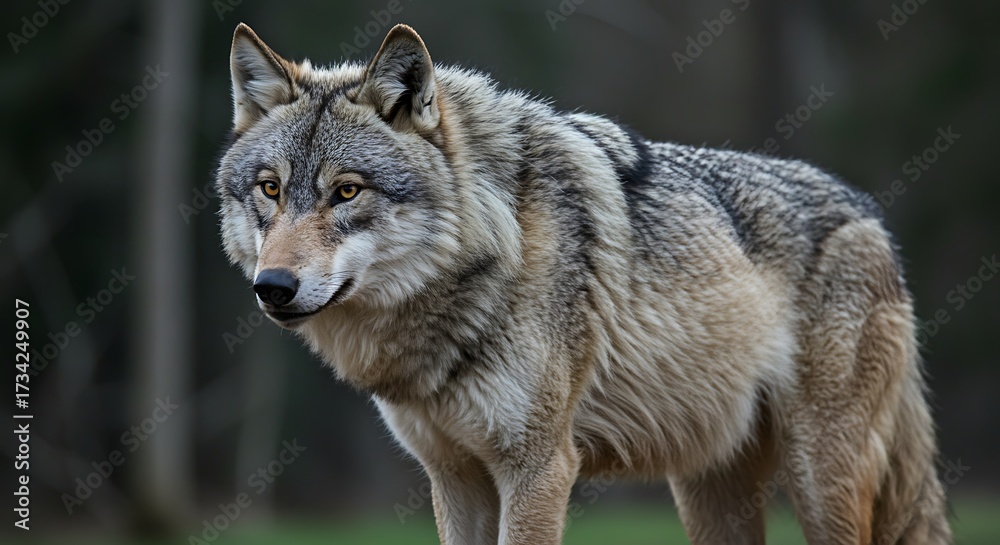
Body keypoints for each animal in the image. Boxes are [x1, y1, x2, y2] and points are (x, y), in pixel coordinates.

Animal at [216, 22, 951, 545]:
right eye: (270, 189)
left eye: (346, 191)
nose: (272, 286)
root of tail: (870, 216)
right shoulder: (454, 476)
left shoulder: (539, 468)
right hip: (709, 494)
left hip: (821, 479)